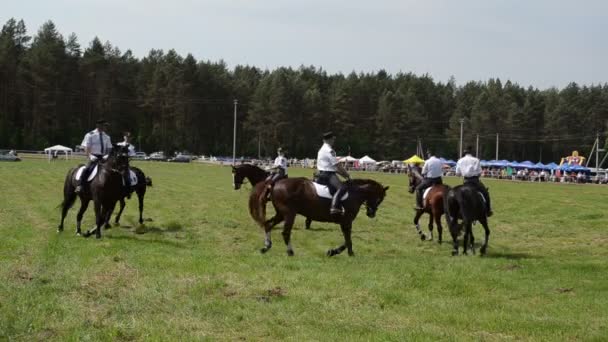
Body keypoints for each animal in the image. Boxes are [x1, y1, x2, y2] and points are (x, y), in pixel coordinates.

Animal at [253, 178, 390, 255]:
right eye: (380, 198)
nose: (371, 214)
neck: (355, 193)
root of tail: (275, 184)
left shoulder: (345, 223)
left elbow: (347, 240)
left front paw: (333, 252)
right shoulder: (346, 222)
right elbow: (348, 240)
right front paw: (347, 253)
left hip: (281, 214)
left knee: (268, 224)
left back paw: (266, 247)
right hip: (289, 214)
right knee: (285, 232)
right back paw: (290, 252)